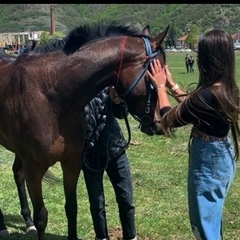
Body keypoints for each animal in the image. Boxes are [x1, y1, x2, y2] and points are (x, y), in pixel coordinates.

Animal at [0, 21, 169, 239]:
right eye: (159, 75)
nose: (159, 122)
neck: (50, 94)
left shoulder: (72, 163)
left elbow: (72, 208)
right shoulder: (34, 169)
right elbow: (42, 217)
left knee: (17, 173)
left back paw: (27, 222)